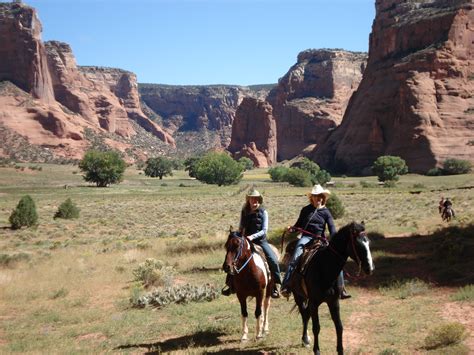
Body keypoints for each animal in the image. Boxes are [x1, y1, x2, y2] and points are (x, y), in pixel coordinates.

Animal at [284, 221, 376, 354]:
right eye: (358, 245)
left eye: (368, 242)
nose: (370, 268)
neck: (324, 268)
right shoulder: (314, 303)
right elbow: (316, 327)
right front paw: (317, 350)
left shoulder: (333, 301)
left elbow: (339, 326)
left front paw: (340, 350)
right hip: (299, 296)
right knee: (304, 314)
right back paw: (305, 339)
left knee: (306, 314)